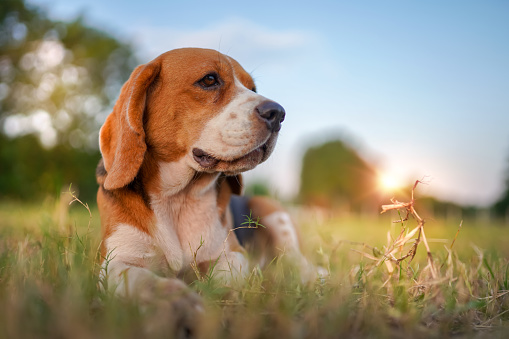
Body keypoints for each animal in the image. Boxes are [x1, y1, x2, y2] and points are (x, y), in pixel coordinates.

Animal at [95, 48, 322, 310]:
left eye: (252, 88)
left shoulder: (233, 254)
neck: (178, 199)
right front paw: (176, 300)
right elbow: (139, 280)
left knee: (298, 265)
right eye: (210, 80)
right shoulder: (116, 261)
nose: (278, 113)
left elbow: (223, 274)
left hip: (271, 211)